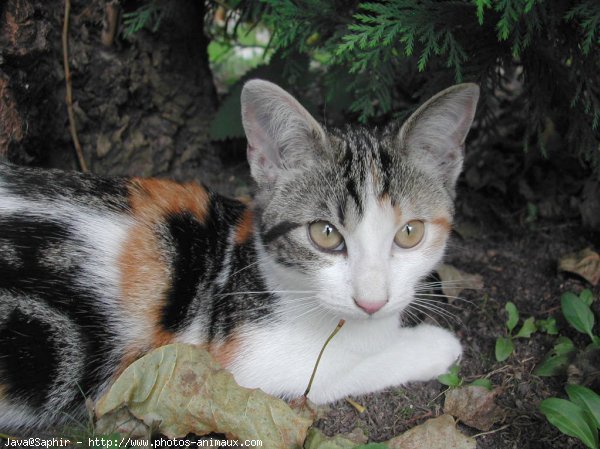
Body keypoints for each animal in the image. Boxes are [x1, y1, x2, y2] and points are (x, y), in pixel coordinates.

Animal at [0, 79, 478, 430]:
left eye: (410, 232)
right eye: (325, 234)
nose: (372, 301)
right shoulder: (243, 365)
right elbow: (336, 369)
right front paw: (435, 344)